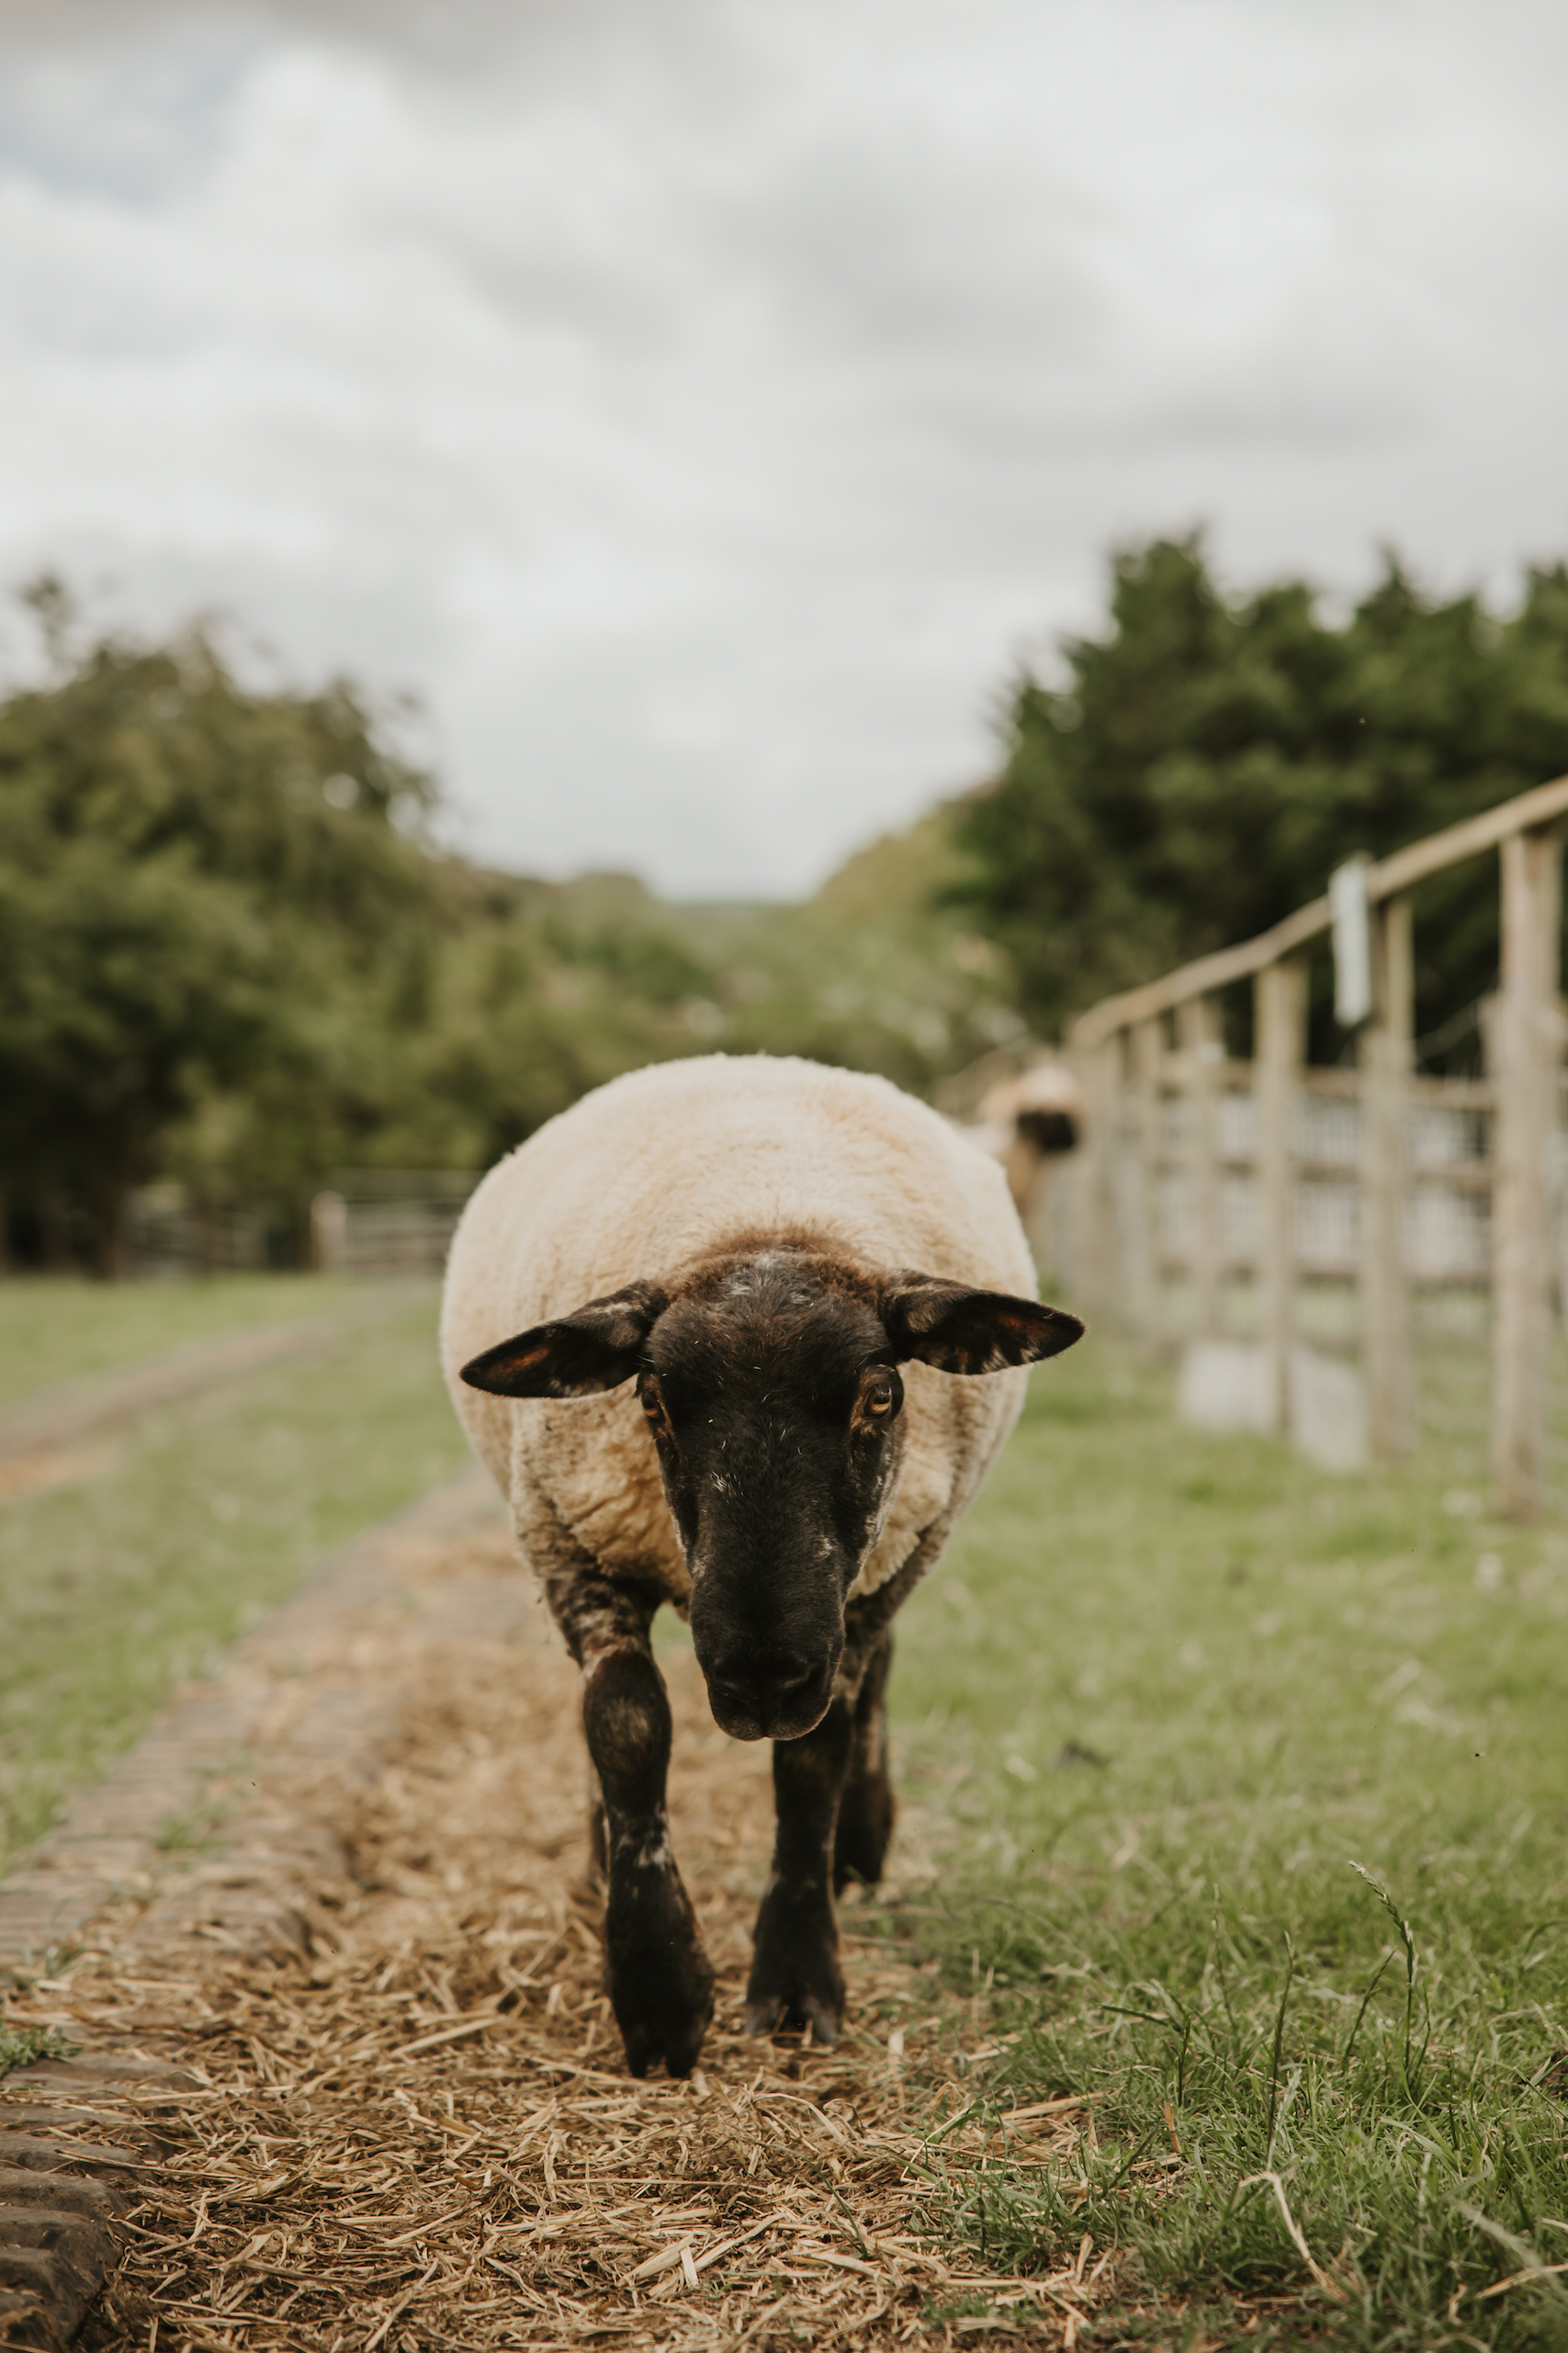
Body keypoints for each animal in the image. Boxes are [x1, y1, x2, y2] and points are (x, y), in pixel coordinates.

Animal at [442, 1054, 1081, 2079]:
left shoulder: (865, 1585)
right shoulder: (567, 1542)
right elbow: (624, 1726)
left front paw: (794, 1977)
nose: (759, 1676)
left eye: (879, 1394)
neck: (765, 1215)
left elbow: (813, 1757)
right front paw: (658, 1989)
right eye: (652, 1399)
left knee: (873, 1683)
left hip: (896, 1551)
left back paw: (861, 1844)